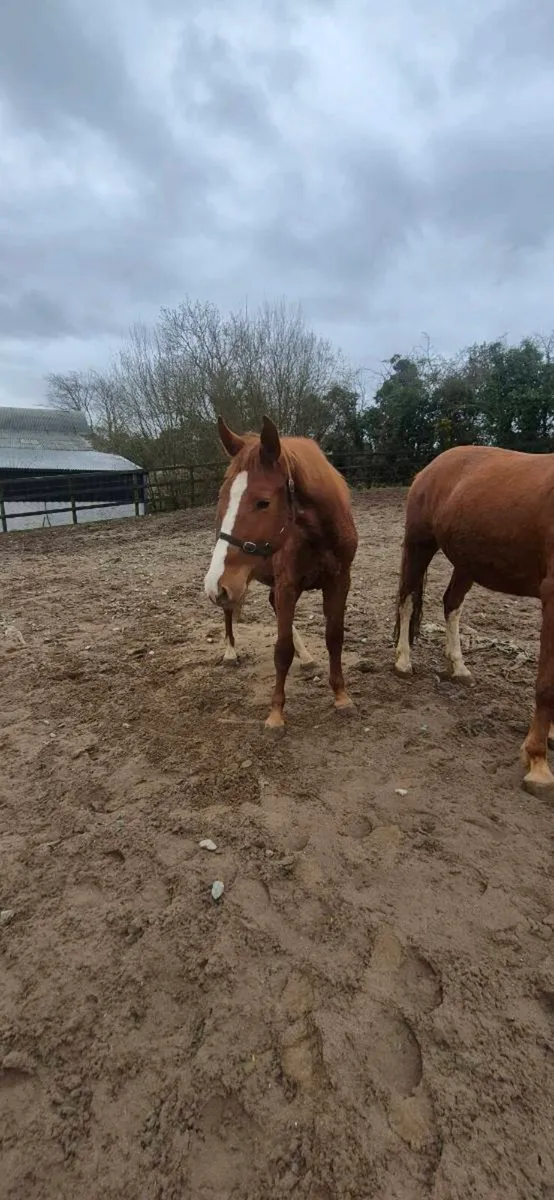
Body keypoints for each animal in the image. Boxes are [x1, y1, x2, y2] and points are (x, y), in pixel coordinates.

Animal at [204, 415, 358, 730]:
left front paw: (341, 696)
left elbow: (334, 637)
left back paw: (306, 656)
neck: (318, 534)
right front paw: (276, 714)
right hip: (234, 580)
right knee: (229, 610)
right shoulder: (287, 585)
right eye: (223, 497)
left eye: (263, 502)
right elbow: (281, 649)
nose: (213, 586)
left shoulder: (339, 582)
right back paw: (230, 652)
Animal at [394, 443, 554, 798]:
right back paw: (403, 662)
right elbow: (547, 683)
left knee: (451, 603)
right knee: (407, 600)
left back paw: (459, 667)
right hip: (420, 545)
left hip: (466, 561)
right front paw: (538, 763)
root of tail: (432, 467)